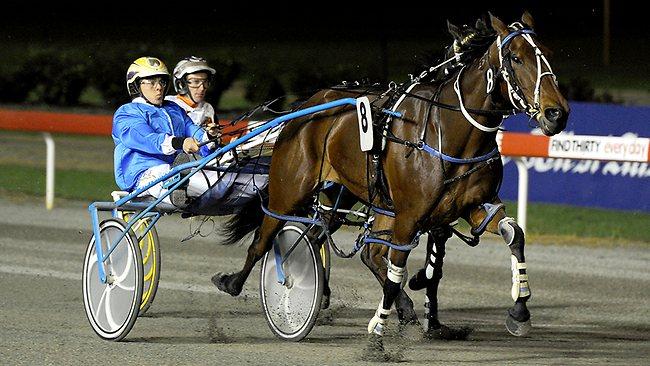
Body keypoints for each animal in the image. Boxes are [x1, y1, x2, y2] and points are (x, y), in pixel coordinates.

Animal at [214, 10, 568, 344]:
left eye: (548, 53)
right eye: (516, 57)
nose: (557, 113)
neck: (448, 133)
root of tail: (307, 106)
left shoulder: (473, 206)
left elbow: (514, 235)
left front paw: (518, 311)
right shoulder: (410, 217)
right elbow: (400, 267)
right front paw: (383, 325)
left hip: (356, 202)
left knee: (329, 241)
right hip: (290, 189)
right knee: (265, 238)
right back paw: (239, 283)